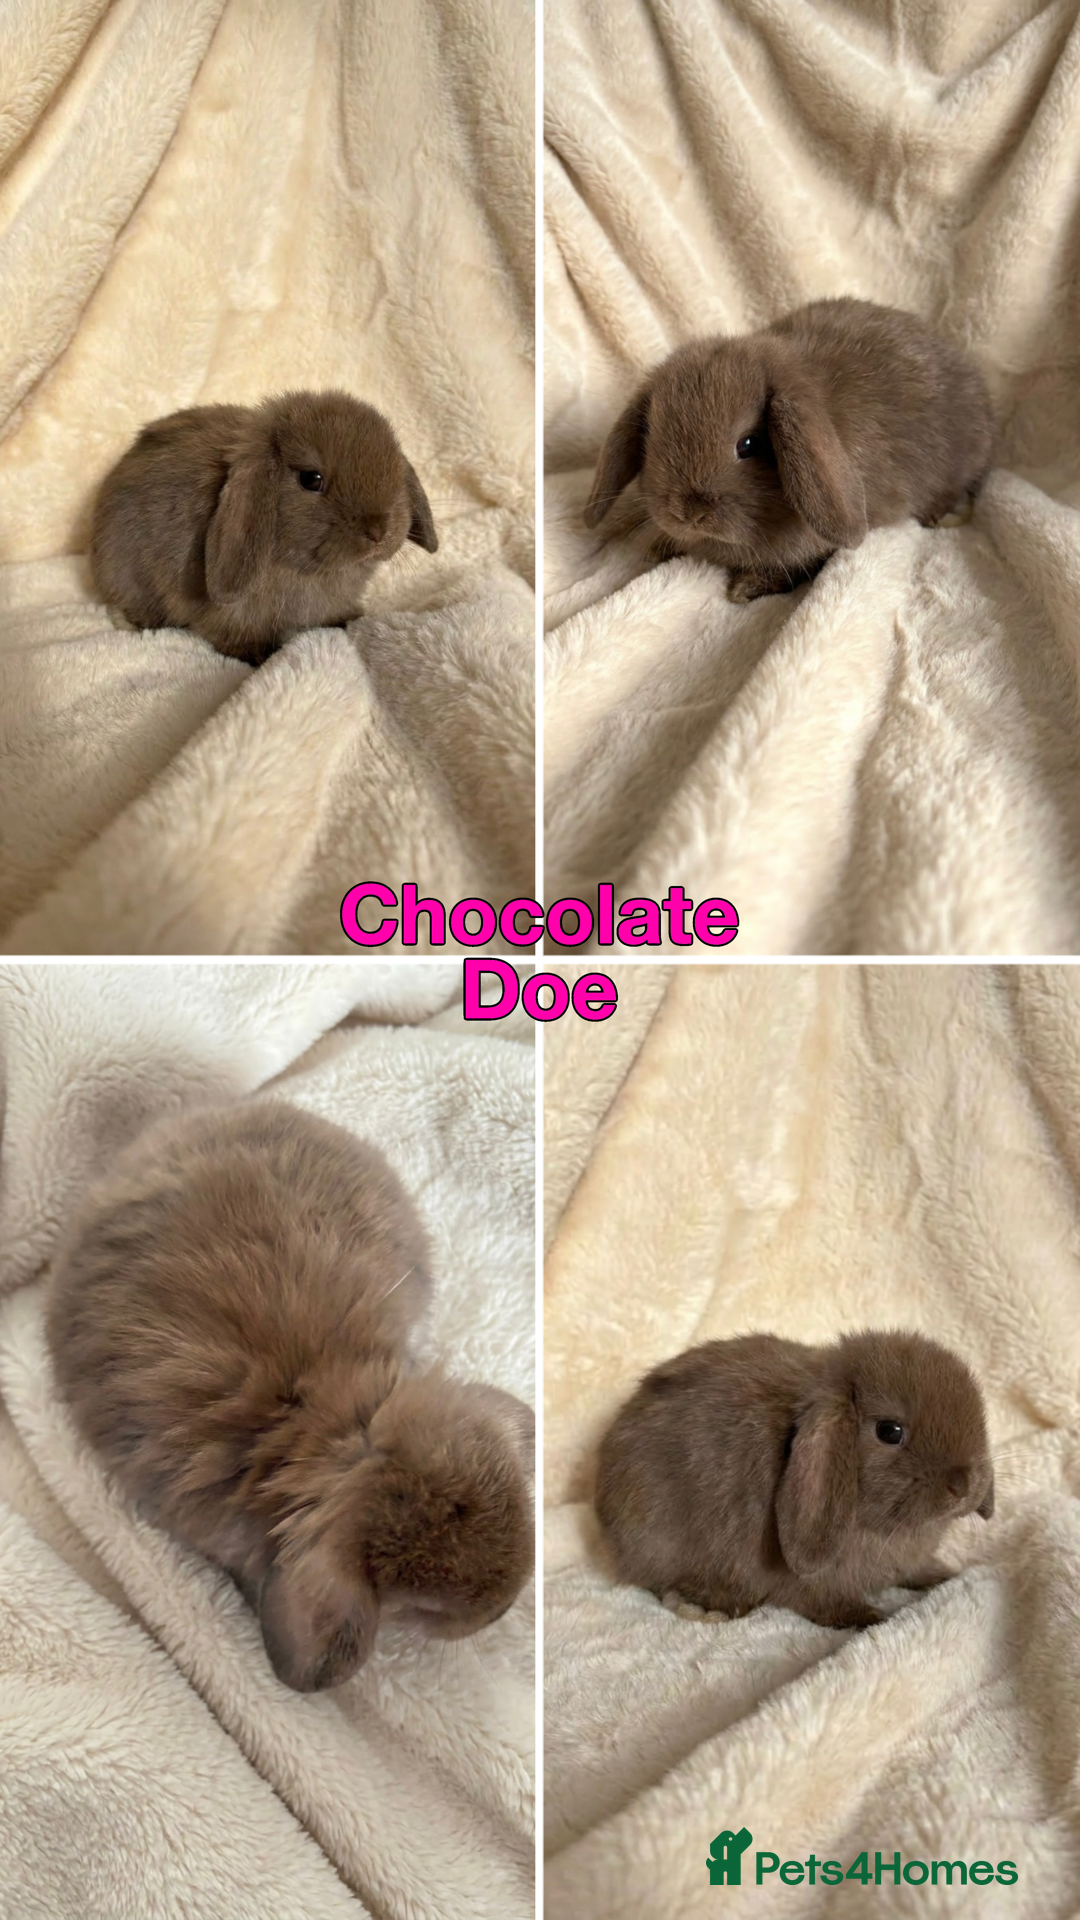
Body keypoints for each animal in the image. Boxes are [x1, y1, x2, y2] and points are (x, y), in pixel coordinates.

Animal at [90, 389, 439, 663]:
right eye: (311, 479)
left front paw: (350, 619)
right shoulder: (225, 614)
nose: (378, 530)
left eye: (395, 471)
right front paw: (260, 655)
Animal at [594, 1328, 994, 1630]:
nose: (963, 1485)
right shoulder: (809, 1583)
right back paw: (706, 1605)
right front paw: (870, 1618)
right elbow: (824, 1602)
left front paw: (946, 1576)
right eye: (890, 1431)